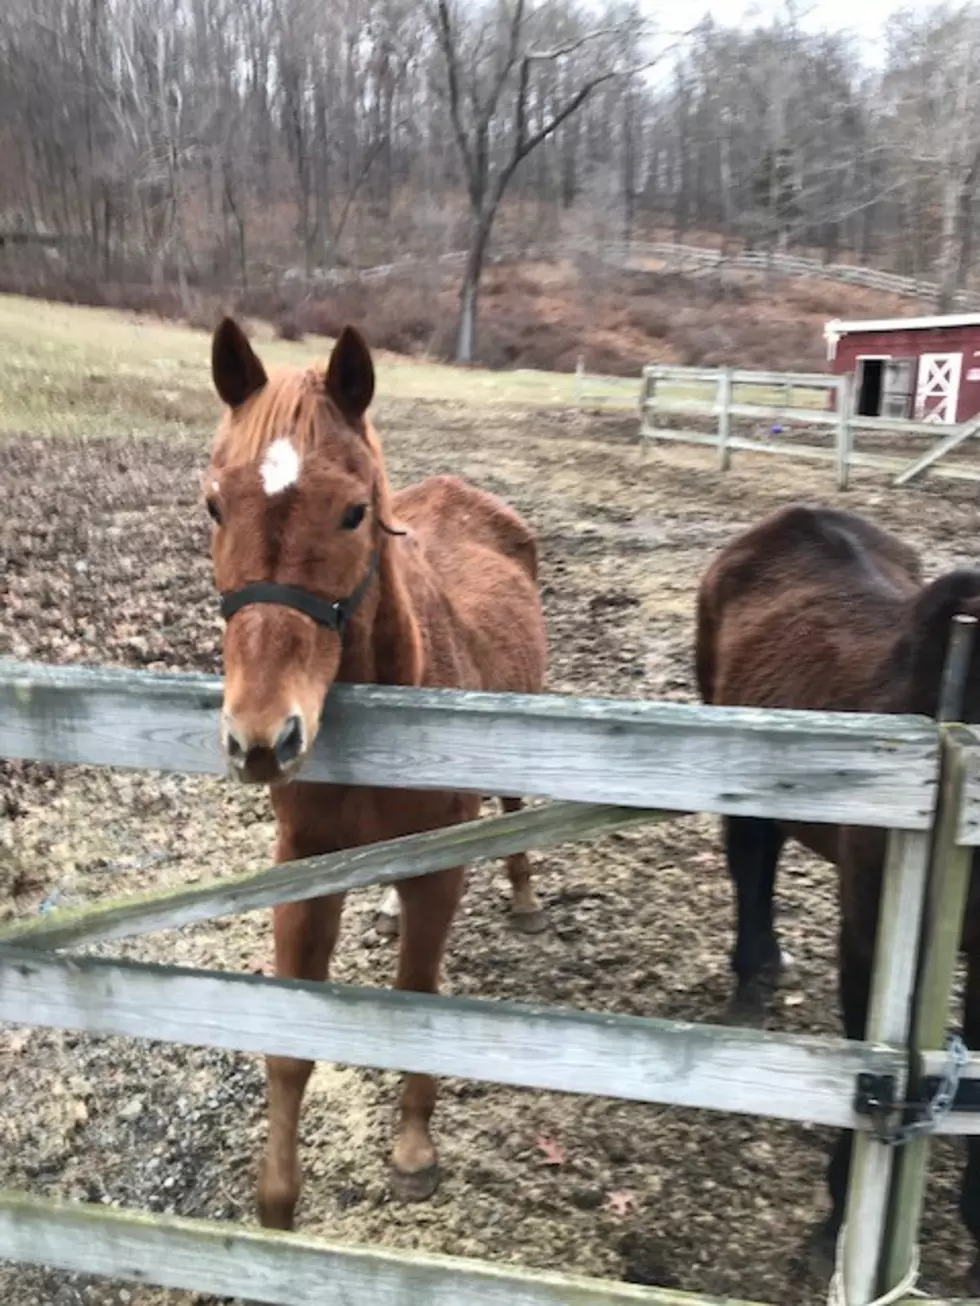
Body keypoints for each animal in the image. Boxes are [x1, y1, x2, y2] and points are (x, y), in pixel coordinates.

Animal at [206, 316, 548, 1222]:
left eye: (355, 512)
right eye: (214, 504)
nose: (262, 738)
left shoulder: (438, 874)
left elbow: (419, 1000)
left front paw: (413, 1149)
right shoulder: (304, 867)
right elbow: (290, 1043)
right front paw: (277, 1200)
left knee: (515, 810)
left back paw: (526, 896)